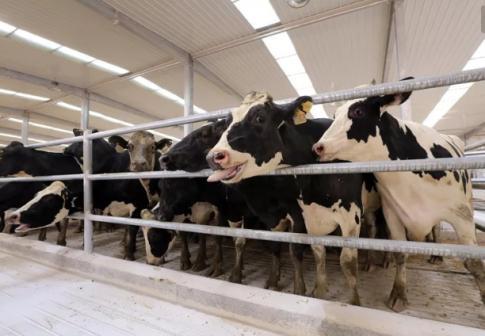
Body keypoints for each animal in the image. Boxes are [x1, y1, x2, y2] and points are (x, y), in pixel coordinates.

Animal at [206, 91, 380, 304]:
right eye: (226, 123)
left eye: (260, 118)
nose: (213, 157)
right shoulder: (303, 215)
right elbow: (310, 250)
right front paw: (315, 290)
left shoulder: (348, 214)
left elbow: (345, 260)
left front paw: (352, 301)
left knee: (372, 229)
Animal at [310, 78, 484, 310]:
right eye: (334, 114)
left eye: (357, 111)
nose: (318, 147)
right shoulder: (392, 213)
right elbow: (400, 252)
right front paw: (398, 293)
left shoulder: (461, 214)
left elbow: (474, 262)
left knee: (436, 230)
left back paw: (436, 255)